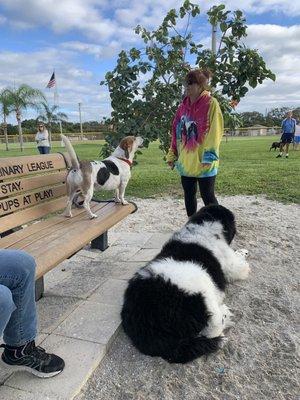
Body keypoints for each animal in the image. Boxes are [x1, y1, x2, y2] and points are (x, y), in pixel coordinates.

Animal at [120, 205, 250, 364]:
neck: (203, 226)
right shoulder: (232, 264)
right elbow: (241, 263)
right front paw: (243, 252)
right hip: (201, 290)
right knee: (213, 328)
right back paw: (224, 314)